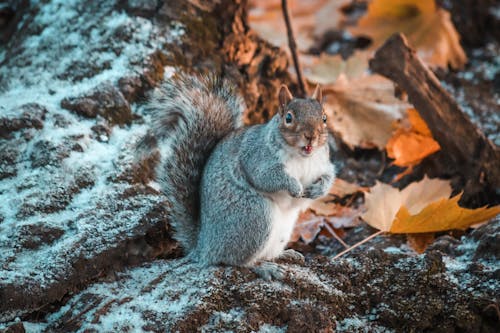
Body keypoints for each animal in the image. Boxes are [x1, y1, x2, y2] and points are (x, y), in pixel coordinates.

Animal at [138, 74, 336, 278]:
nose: (311, 136)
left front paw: (319, 190)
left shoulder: (323, 163)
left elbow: (328, 176)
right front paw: (294, 186)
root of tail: (203, 247)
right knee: (235, 260)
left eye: (324, 118)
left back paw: (286, 255)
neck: (302, 156)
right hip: (253, 217)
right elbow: (267, 177)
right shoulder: (256, 158)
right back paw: (264, 267)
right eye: (288, 117)